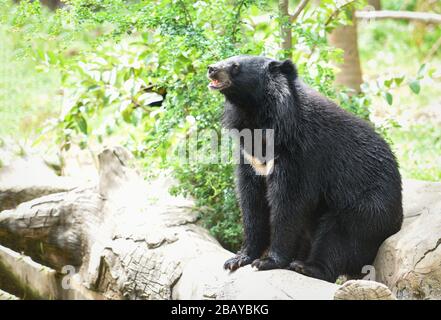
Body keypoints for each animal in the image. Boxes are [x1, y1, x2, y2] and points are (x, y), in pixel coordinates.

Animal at [206, 55, 402, 282]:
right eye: (226, 59)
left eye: (235, 66)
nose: (211, 68)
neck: (258, 115)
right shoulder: (249, 157)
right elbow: (251, 201)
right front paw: (238, 259)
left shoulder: (300, 155)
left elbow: (289, 203)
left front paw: (267, 261)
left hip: (367, 208)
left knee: (337, 237)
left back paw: (306, 266)